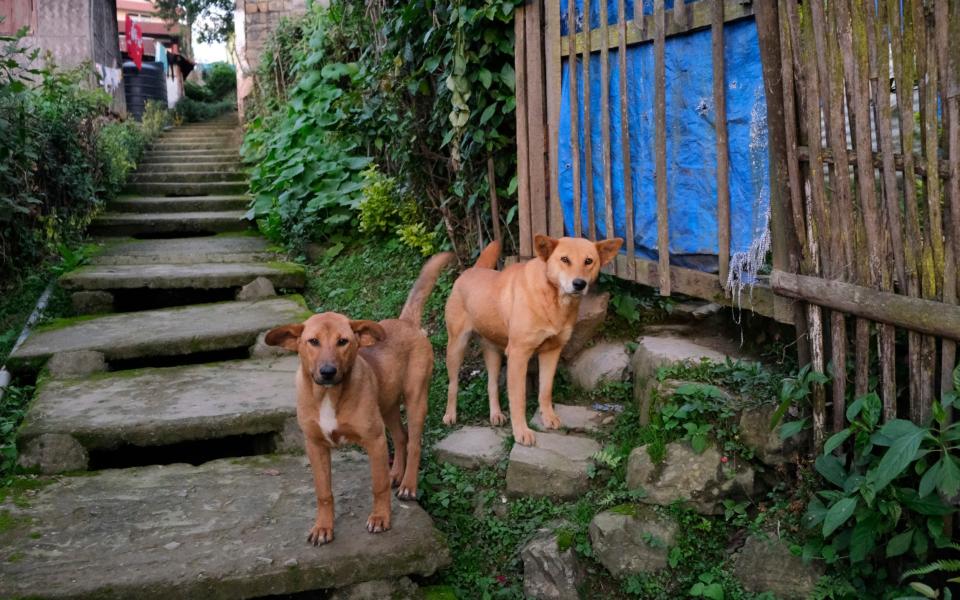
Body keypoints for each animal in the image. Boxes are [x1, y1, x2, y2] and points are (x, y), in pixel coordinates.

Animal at [264, 251, 456, 548]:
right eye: (312, 341)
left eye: (343, 341)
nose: (328, 372)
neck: (328, 396)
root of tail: (406, 322)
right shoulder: (315, 446)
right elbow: (323, 492)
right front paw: (323, 527)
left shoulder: (373, 440)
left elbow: (377, 486)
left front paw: (380, 518)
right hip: (387, 405)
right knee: (400, 437)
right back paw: (395, 473)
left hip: (416, 399)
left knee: (414, 442)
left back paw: (408, 484)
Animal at [442, 234, 624, 446]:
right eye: (564, 259)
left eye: (589, 261)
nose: (579, 284)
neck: (553, 299)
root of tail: (472, 270)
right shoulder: (518, 355)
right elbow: (518, 399)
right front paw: (521, 432)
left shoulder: (551, 351)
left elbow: (545, 390)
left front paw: (548, 417)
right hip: (456, 348)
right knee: (453, 384)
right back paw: (450, 415)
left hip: (493, 352)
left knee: (491, 385)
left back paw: (495, 414)